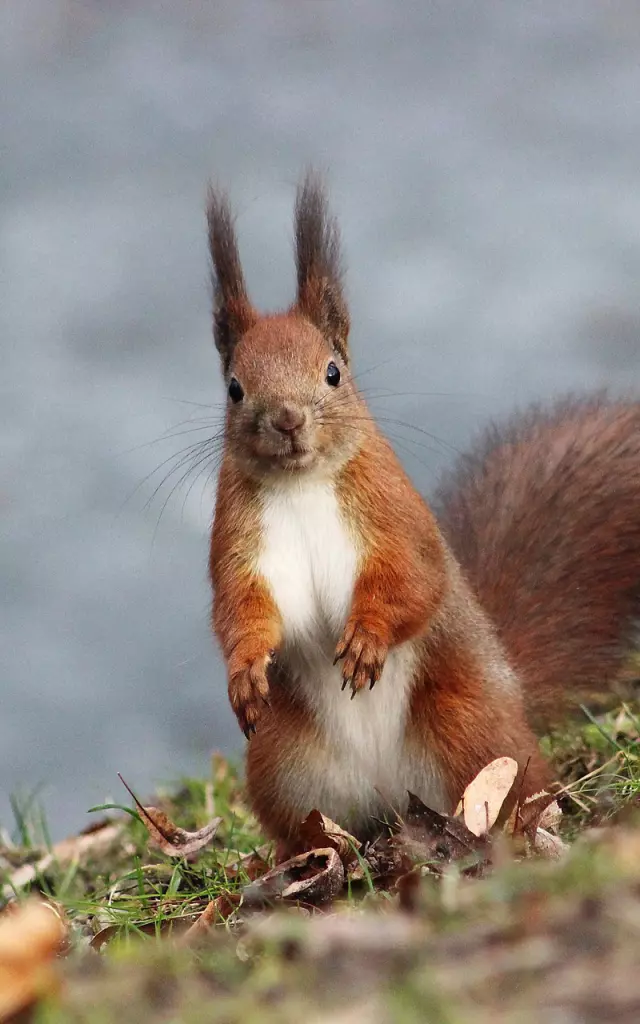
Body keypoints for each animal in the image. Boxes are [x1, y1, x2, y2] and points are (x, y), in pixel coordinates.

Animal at [207, 172, 640, 843]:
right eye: (234, 388)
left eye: (333, 372)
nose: (287, 419)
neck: (303, 485)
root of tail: (391, 798)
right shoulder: (241, 540)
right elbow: (241, 607)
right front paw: (247, 670)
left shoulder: (394, 514)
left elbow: (415, 579)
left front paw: (367, 637)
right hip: (285, 763)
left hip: (467, 726)